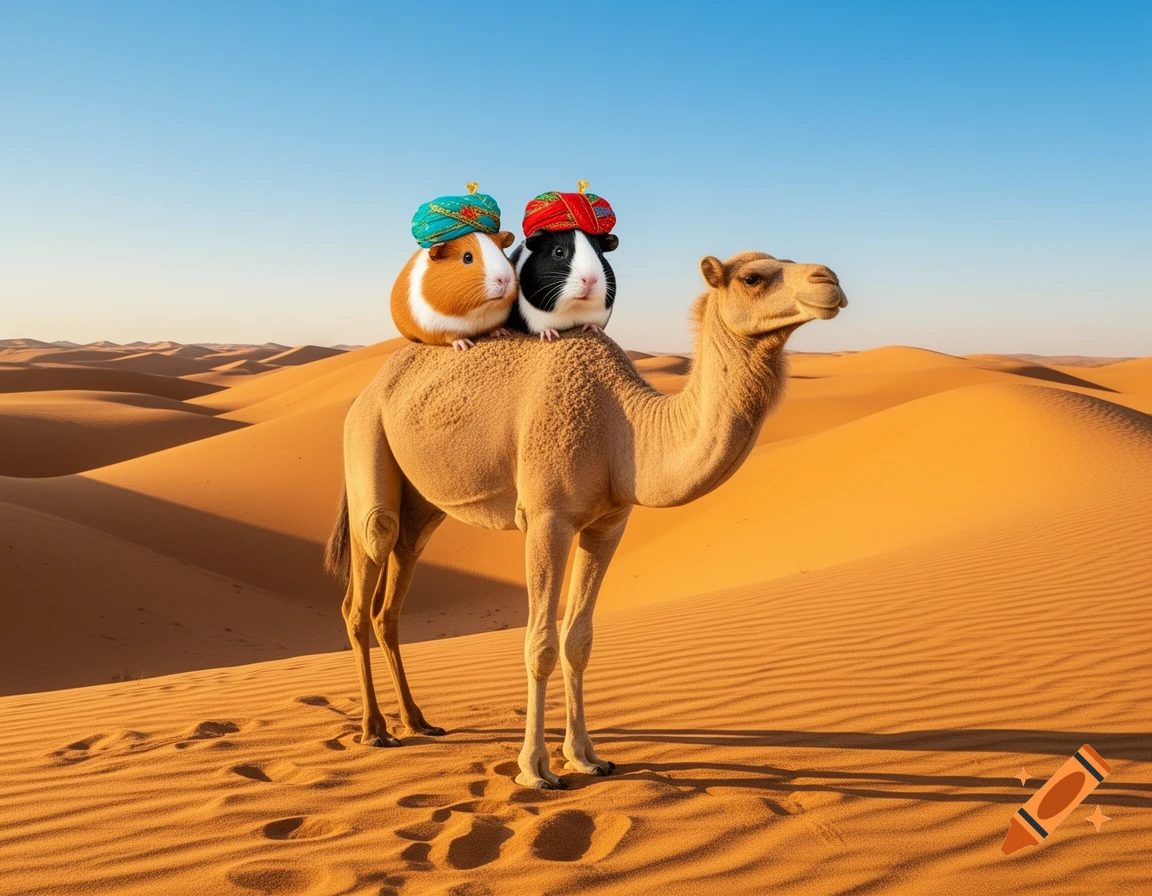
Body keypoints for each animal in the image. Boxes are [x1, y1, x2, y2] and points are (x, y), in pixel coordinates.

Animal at [325, 250, 847, 788]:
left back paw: (418, 721)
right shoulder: (547, 518)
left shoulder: (607, 524)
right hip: (367, 441)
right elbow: (540, 643)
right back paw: (375, 729)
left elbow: (579, 640)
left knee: (396, 585)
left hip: (422, 503)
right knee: (367, 570)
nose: (829, 281)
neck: (624, 429)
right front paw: (534, 768)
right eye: (752, 277)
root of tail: (367, 391)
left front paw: (586, 756)